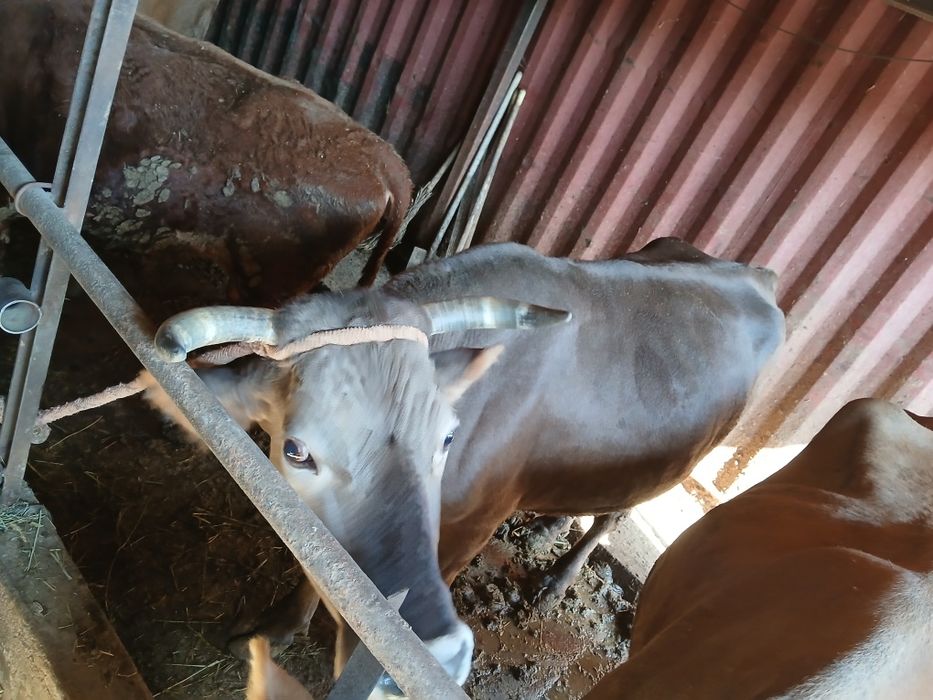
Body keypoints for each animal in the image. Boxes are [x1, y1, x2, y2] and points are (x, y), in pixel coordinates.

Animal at [145, 238, 785, 694]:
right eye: (296, 450)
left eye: (447, 438)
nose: (443, 653)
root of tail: (757, 275)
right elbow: (318, 562)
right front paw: (276, 629)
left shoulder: (475, 522)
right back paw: (552, 524)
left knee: (614, 513)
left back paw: (558, 577)